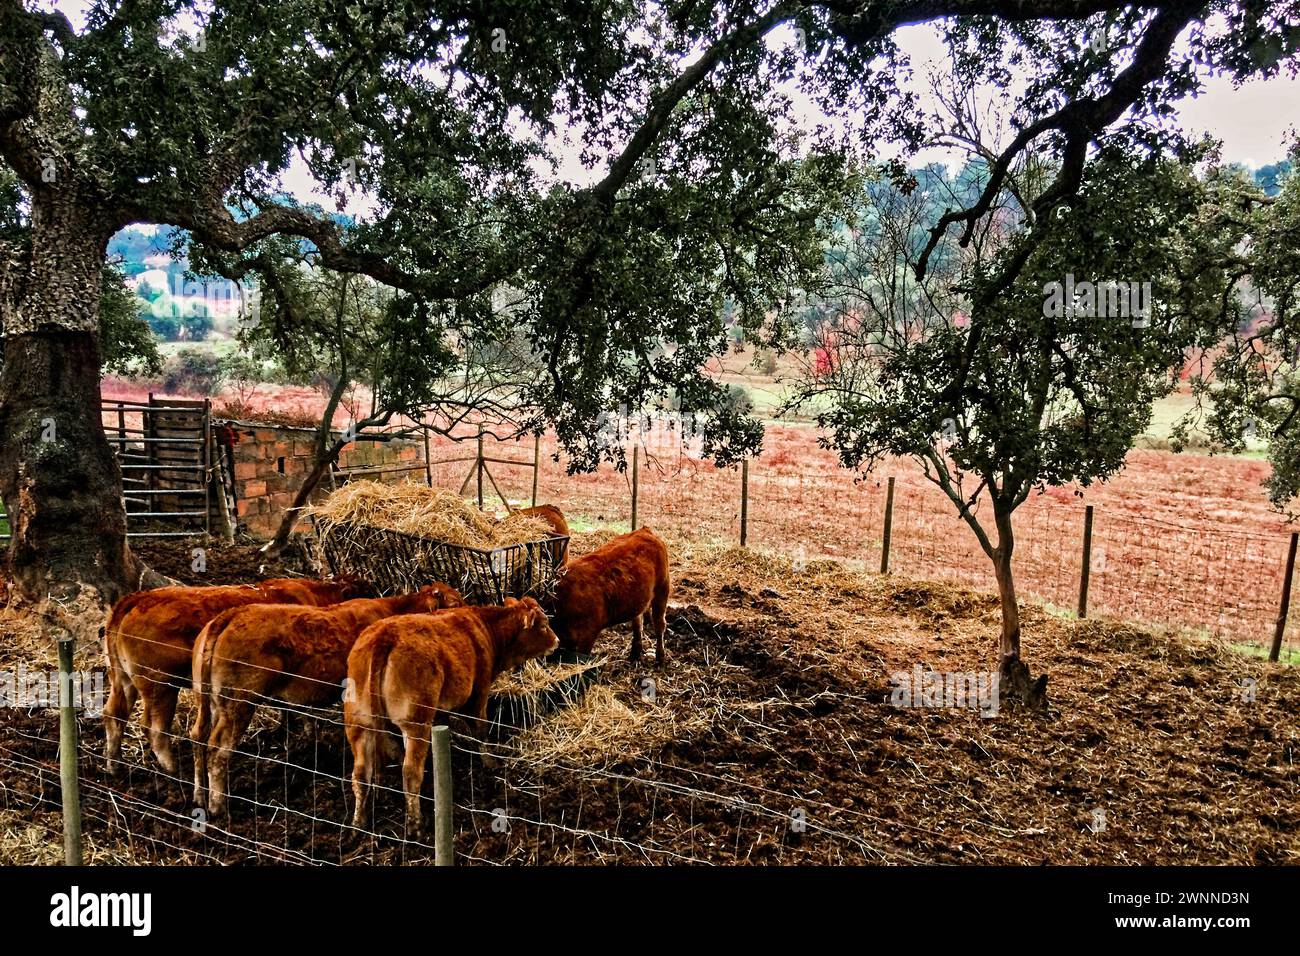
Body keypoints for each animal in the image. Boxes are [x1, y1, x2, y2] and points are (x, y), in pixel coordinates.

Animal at [102, 574, 371, 780]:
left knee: (114, 713)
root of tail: (136, 598)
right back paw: (173, 770)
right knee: (155, 728)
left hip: (122, 680)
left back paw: (114, 765)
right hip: (160, 686)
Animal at [188, 582, 462, 816]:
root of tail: (229, 616)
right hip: (239, 704)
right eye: (456, 602)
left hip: (208, 702)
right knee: (217, 749)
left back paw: (200, 797)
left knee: (198, 737)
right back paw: (218, 807)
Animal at [348, 600, 561, 832]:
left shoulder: (442, 709)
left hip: (359, 724)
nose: (557, 641)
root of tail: (384, 636)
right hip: (415, 722)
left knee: (360, 774)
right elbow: (480, 730)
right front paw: (490, 762)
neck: (486, 628)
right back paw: (415, 824)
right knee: (410, 772)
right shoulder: (479, 692)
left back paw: (358, 822)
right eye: (543, 625)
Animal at [548, 522, 670, 665]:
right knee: (637, 622)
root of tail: (645, 531)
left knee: (659, 624)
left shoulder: (588, 633)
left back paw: (660, 658)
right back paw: (635, 654)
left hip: (663, 589)